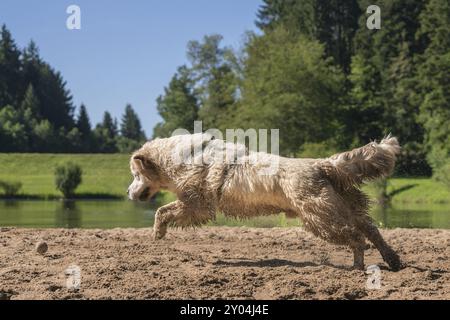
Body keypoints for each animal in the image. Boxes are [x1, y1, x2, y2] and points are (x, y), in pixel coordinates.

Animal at [128, 132, 402, 270]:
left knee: (357, 237)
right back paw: (393, 260)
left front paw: (158, 232)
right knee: (372, 230)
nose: (129, 192)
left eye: (135, 175)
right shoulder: (193, 204)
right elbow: (164, 209)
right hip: (344, 208)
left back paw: (358, 265)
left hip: (321, 218)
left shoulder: (196, 204)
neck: (181, 158)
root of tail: (320, 164)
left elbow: (162, 211)